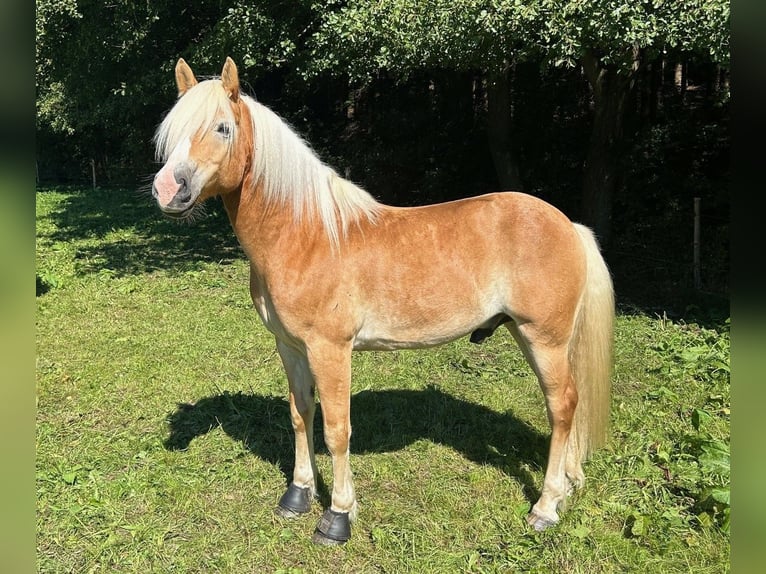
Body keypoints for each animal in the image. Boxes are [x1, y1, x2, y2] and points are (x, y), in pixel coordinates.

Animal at [153, 58, 616, 548]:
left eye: (222, 127)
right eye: (172, 129)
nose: (167, 189)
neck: (307, 235)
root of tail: (569, 226)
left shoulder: (331, 350)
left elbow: (337, 430)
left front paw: (337, 517)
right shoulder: (290, 347)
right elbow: (301, 416)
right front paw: (297, 496)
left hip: (543, 338)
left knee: (562, 406)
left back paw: (546, 507)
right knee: (570, 405)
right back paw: (569, 485)